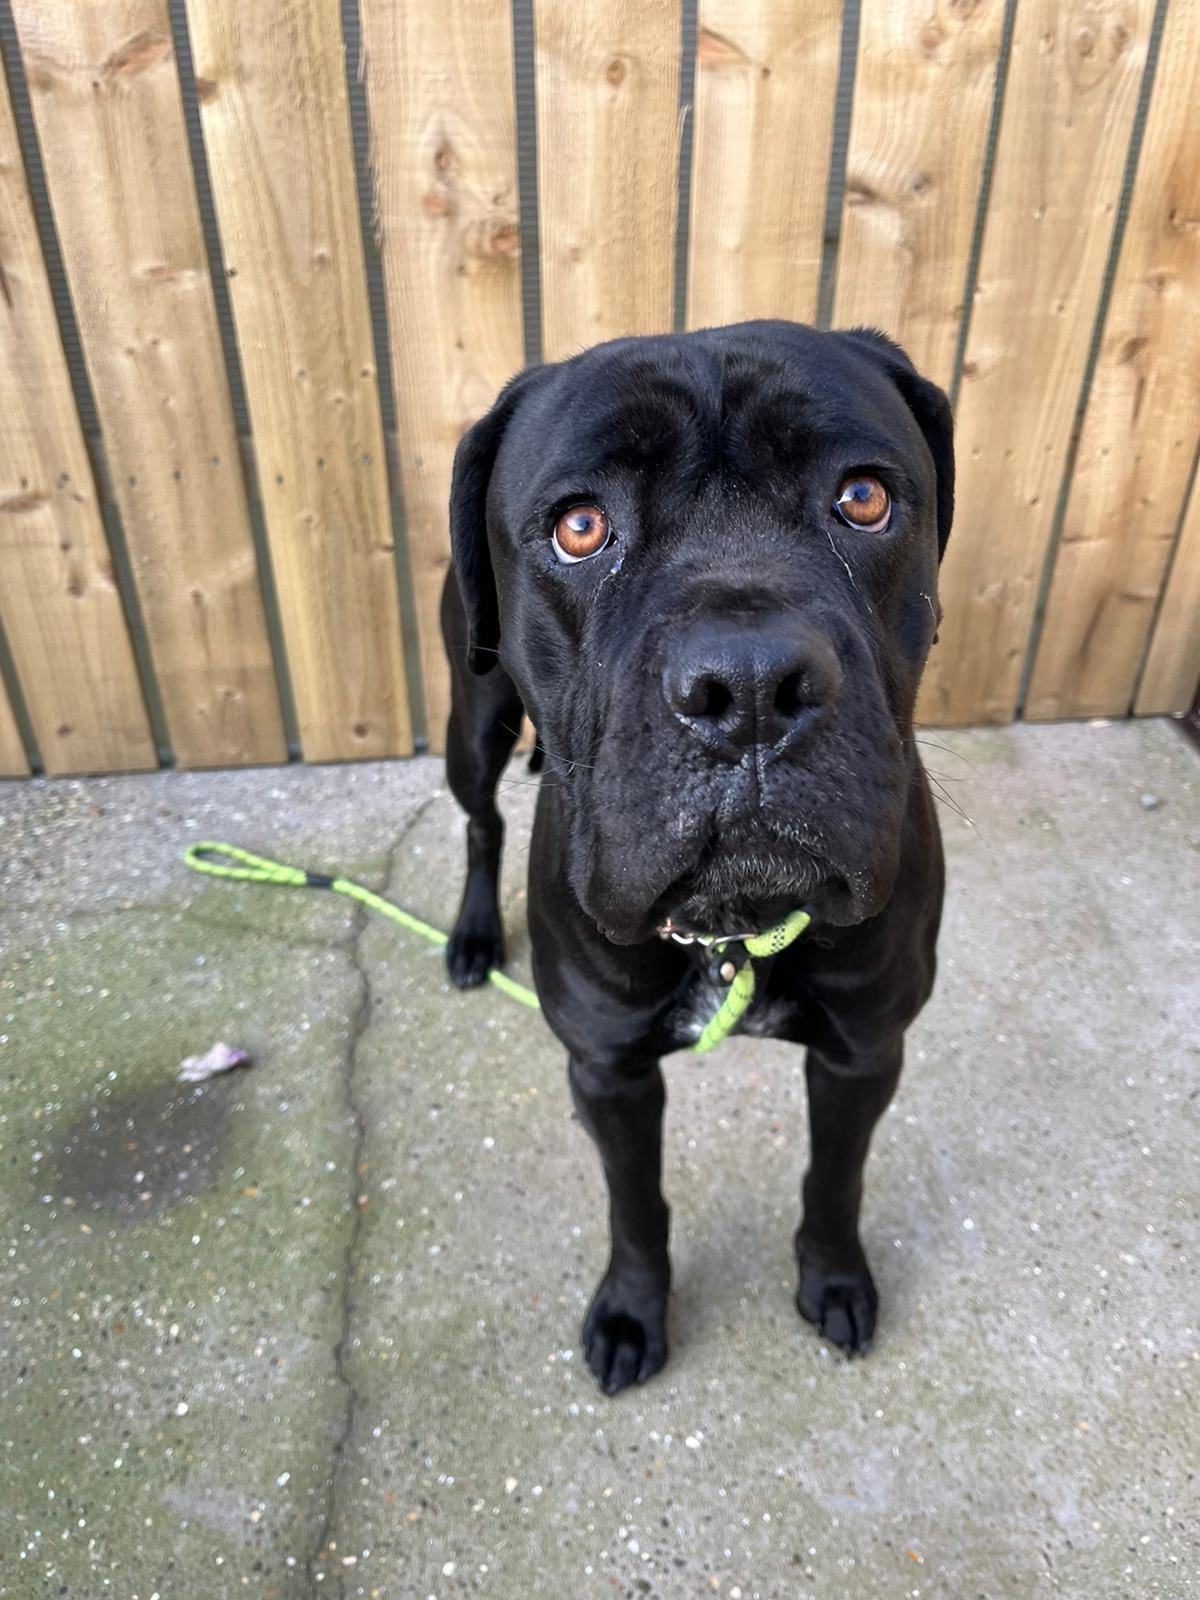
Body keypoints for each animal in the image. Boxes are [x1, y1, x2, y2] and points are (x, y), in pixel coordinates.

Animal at [438, 321, 953, 1388]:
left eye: (863, 498)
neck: (732, 927)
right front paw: (634, 1311)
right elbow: (636, 1206)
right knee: (479, 821)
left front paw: (834, 1279)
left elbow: (834, 1180)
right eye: (580, 527)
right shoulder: (607, 1070)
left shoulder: (863, 1051)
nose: (749, 685)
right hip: (473, 722)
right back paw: (471, 937)